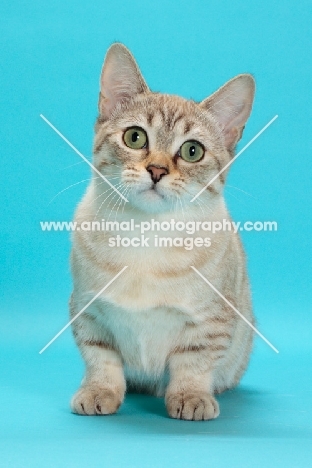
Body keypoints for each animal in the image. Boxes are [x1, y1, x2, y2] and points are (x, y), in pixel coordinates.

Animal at [69, 41, 255, 420]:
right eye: (135, 137)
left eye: (192, 151)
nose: (156, 170)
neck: (145, 233)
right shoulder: (87, 312)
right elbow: (101, 359)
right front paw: (99, 391)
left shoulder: (210, 323)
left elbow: (194, 364)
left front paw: (191, 397)